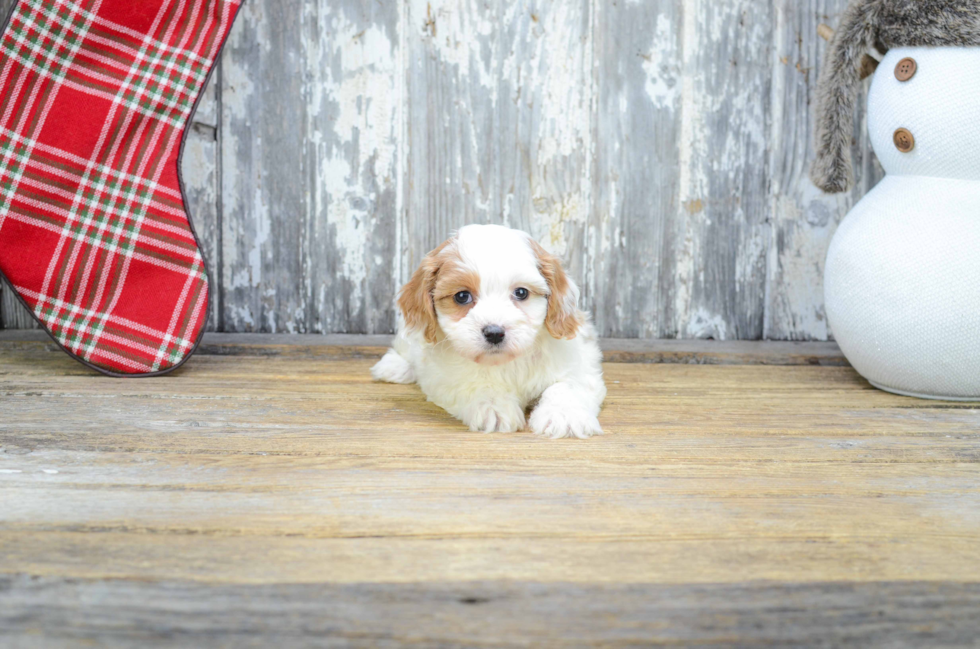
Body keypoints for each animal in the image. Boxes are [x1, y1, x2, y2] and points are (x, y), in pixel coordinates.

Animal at [372, 224, 604, 440]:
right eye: (462, 296)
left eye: (521, 293)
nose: (494, 333)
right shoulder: (442, 376)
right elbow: (475, 384)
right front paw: (493, 406)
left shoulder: (580, 362)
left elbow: (567, 385)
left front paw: (564, 415)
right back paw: (394, 367)